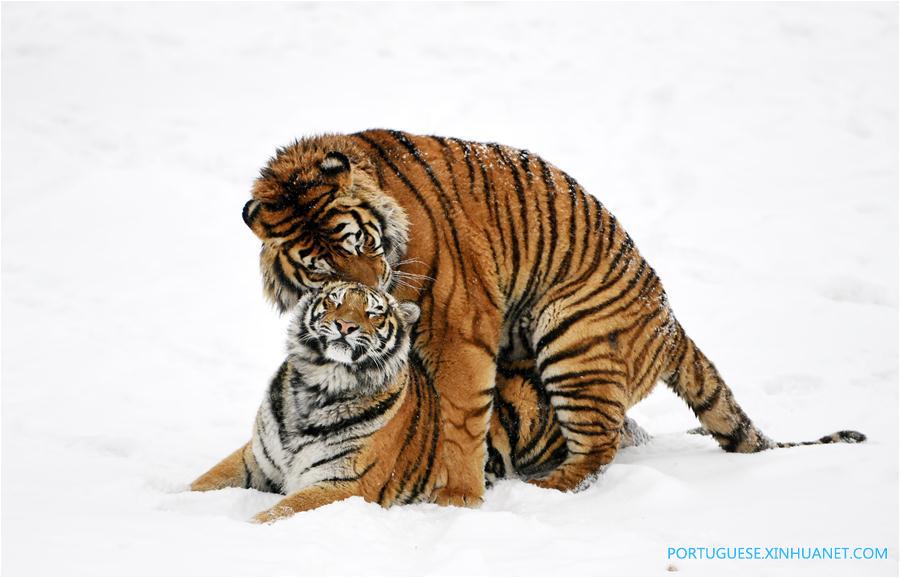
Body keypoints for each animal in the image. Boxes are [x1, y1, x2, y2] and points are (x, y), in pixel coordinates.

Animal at [189, 281, 646, 521]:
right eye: (335, 301)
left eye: (374, 313)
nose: (344, 325)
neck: (318, 387)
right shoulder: (255, 459)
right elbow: (200, 484)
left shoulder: (342, 484)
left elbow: (277, 512)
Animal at [228, 129, 864, 505]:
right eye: (319, 267)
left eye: (356, 241)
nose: (368, 299)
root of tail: (671, 324)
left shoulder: (461, 328)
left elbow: (461, 420)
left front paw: (456, 501)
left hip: (571, 336)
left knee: (597, 448)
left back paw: (547, 490)